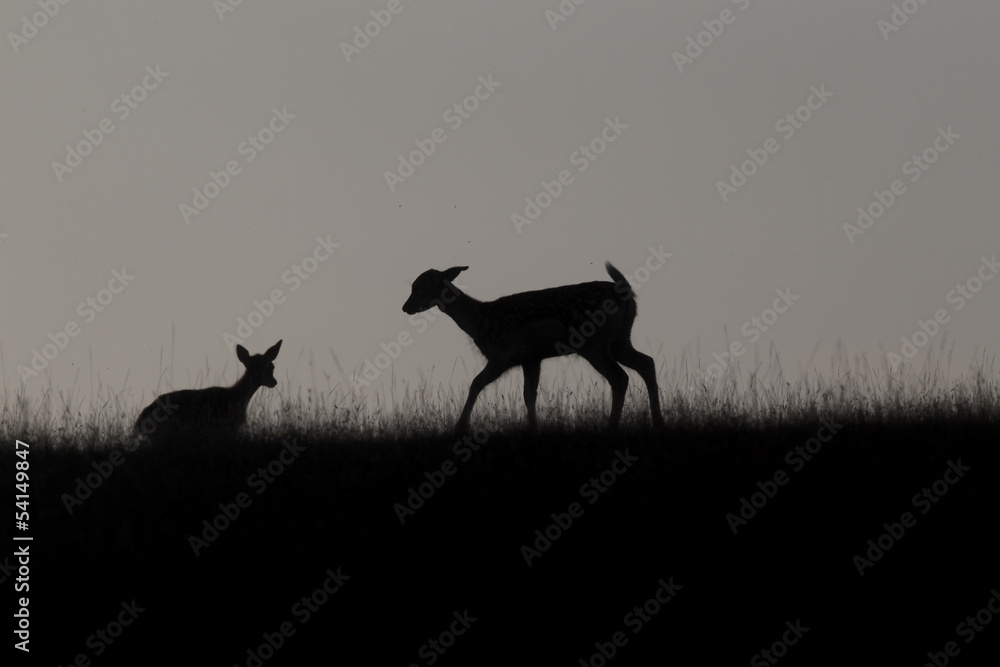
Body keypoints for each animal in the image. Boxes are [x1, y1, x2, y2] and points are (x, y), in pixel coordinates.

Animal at [133, 342, 282, 446]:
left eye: (271, 366)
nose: (274, 382)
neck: (237, 397)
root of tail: (142, 418)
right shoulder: (228, 428)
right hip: (163, 434)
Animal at [398, 264, 664, 436]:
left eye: (417, 287)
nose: (405, 307)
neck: (480, 322)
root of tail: (626, 293)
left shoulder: (503, 354)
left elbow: (475, 383)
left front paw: (460, 427)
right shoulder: (531, 358)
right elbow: (529, 395)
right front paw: (534, 429)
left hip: (594, 343)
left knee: (620, 377)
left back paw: (613, 427)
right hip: (620, 339)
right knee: (646, 362)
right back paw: (657, 421)